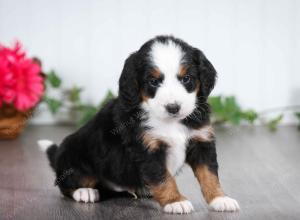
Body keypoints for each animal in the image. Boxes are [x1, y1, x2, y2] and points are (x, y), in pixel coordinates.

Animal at [38, 35, 239, 213]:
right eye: (153, 81)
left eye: (186, 78)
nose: (173, 107)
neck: (170, 122)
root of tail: (58, 157)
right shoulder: (146, 149)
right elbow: (163, 177)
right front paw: (175, 201)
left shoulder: (201, 141)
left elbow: (209, 175)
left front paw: (220, 198)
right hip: (76, 156)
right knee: (66, 185)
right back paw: (85, 192)